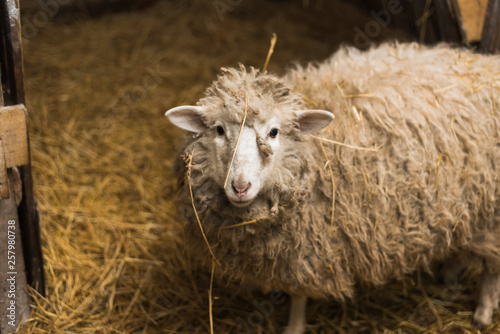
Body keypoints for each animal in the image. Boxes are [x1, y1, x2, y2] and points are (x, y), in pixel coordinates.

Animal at [165, 42, 500, 334]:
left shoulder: (312, 246)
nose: (240, 186)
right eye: (219, 130)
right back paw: (450, 271)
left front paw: (294, 327)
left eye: (274, 132)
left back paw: (483, 312)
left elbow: (299, 294)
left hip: (490, 211)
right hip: (464, 202)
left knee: (491, 268)